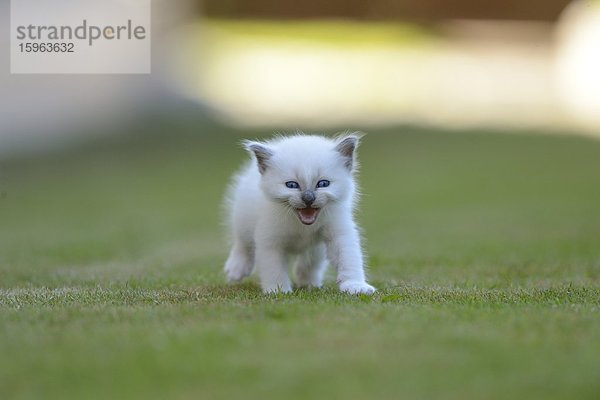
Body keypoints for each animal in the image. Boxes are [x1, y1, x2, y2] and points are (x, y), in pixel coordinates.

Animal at [224, 134, 376, 294]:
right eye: (291, 185)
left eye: (323, 184)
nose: (308, 198)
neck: (302, 226)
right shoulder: (270, 240)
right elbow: (273, 268)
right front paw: (278, 290)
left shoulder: (339, 231)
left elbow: (348, 257)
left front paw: (355, 285)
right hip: (242, 216)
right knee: (243, 242)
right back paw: (236, 268)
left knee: (312, 259)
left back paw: (308, 280)